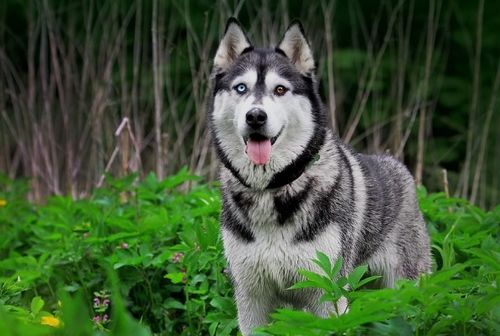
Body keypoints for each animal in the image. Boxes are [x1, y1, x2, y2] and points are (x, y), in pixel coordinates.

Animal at [207, 19, 430, 336]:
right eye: (241, 88)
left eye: (280, 89)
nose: (256, 116)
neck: (271, 190)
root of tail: (398, 166)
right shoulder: (251, 297)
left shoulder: (328, 292)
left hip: (404, 285)